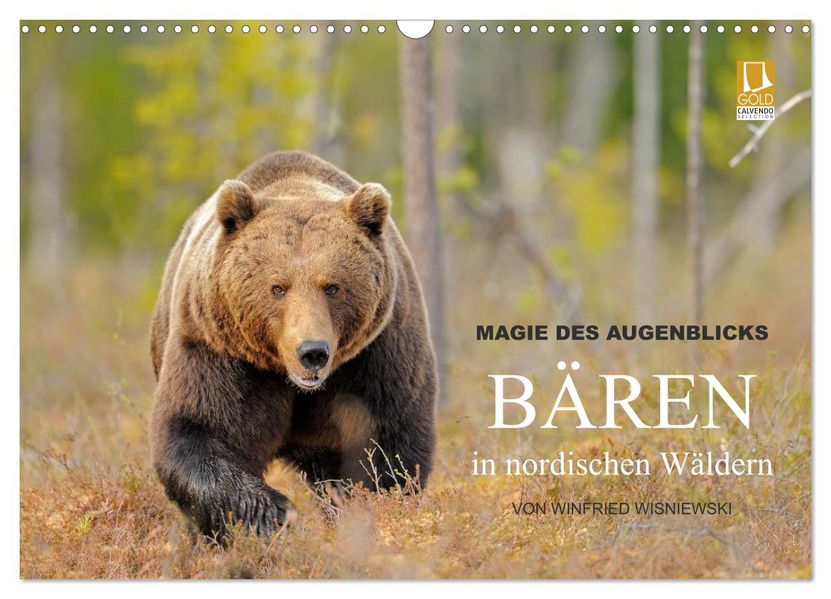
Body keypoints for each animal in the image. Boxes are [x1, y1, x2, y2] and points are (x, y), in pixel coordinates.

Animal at [149, 150, 437, 539]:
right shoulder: (220, 349)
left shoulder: (376, 354)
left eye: (332, 286)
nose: (312, 352)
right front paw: (275, 513)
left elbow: (386, 448)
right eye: (278, 287)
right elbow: (199, 428)